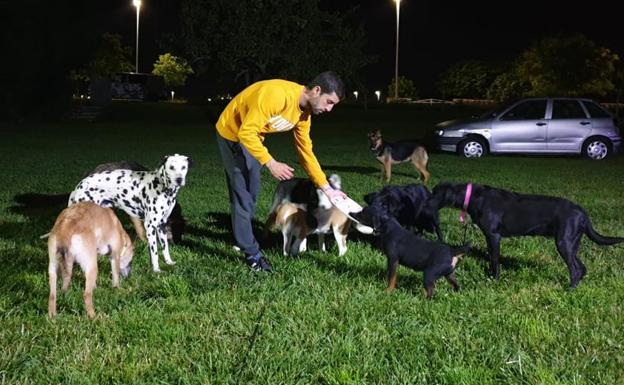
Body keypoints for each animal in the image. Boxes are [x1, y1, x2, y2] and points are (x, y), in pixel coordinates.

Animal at [428, 182, 624, 286]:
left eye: (433, 193)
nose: (425, 201)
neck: (473, 196)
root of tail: (581, 212)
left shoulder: (493, 236)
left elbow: (494, 260)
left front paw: (494, 279)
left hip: (564, 242)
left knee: (575, 269)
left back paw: (568, 289)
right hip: (572, 243)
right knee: (581, 268)